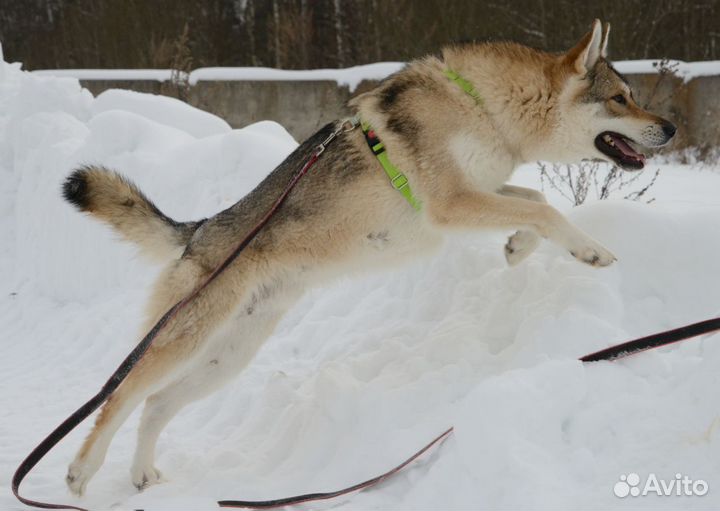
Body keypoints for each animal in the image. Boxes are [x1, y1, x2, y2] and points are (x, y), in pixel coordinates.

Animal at [60, 20, 676, 496]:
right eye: (620, 98)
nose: (670, 127)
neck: (486, 108)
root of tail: (200, 230)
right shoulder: (452, 204)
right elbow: (545, 208)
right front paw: (590, 250)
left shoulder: (475, 193)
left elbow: (536, 201)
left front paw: (518, 247)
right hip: (186, 343)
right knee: (118, 398)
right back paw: (80, 472)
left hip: (226, 359)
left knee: (155, 406)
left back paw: (142, 476)